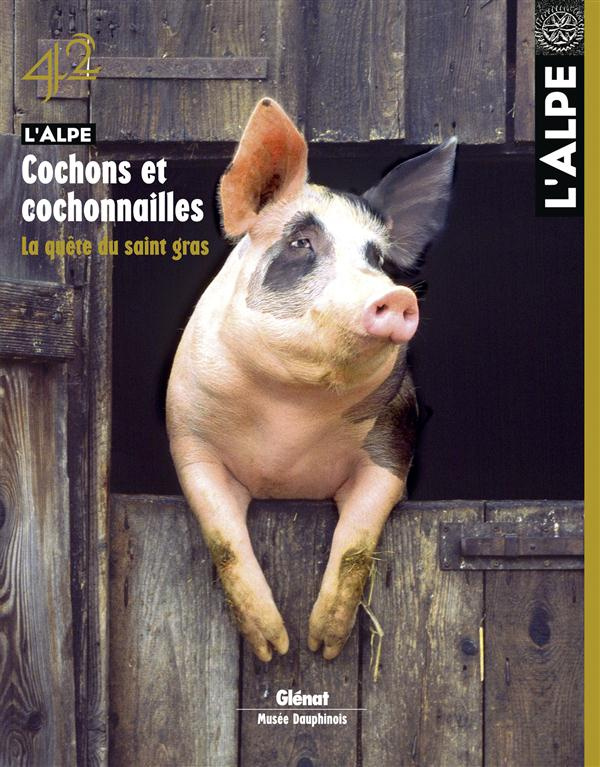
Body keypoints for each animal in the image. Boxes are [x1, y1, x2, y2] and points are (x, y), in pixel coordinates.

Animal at [166, 98, 456, 662]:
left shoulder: (393, 444)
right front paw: (274, 648)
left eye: (377, 259)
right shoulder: (190, 440)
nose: (397, 296)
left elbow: (358, 540)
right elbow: (224, 540)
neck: (291, 413)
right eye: (301, 243)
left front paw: (323, 646)